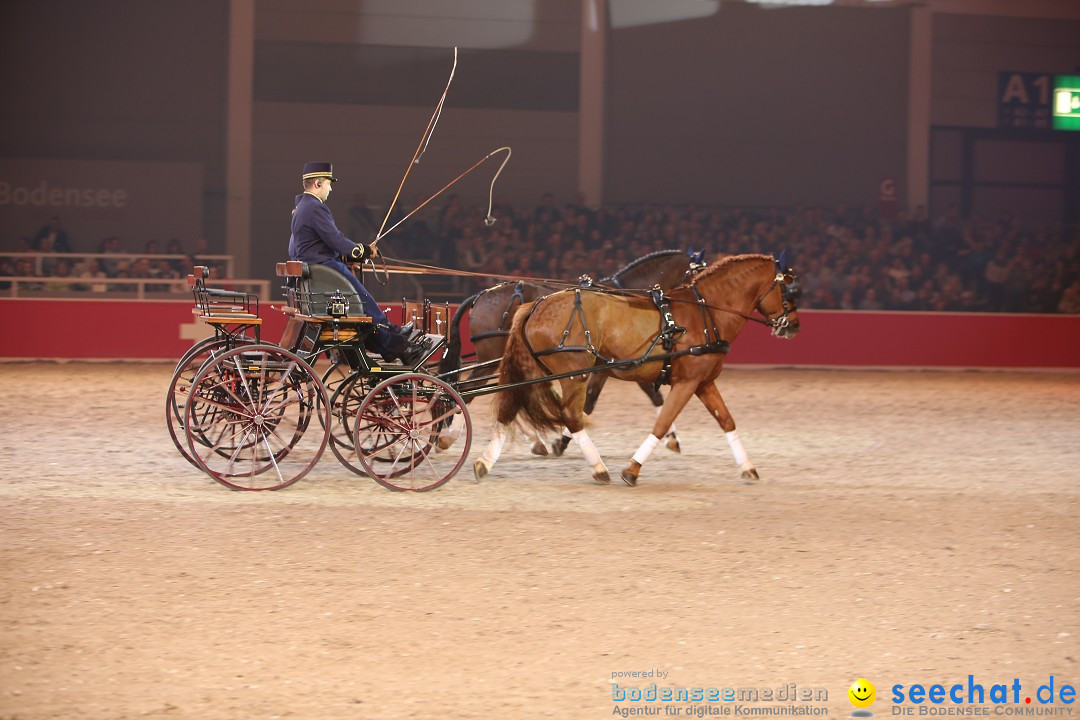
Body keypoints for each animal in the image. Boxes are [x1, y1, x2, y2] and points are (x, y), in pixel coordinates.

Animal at [434, 250, 704, 453]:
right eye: (698, 272)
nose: (701, 305)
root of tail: (483, 294)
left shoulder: (613, 365)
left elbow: (618, 399)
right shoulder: (622, 362)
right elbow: (610, 400)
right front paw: (563, 440)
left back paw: (533, 441)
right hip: (491, 358)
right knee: (468, 391)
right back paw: (449, 436)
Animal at [475, 253, 803, 483]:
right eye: (790, 290)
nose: (794, 326)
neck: (703, 314)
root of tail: (533, 305)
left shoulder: (702, 382)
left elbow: (726, 421)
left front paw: (748, 467)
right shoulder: (685, 382)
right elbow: (661, 421)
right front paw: (632, 469)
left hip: (536, 370)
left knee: (509, 407)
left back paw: (486, 461)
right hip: (572, 373)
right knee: (569, 415)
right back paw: (597, 467)